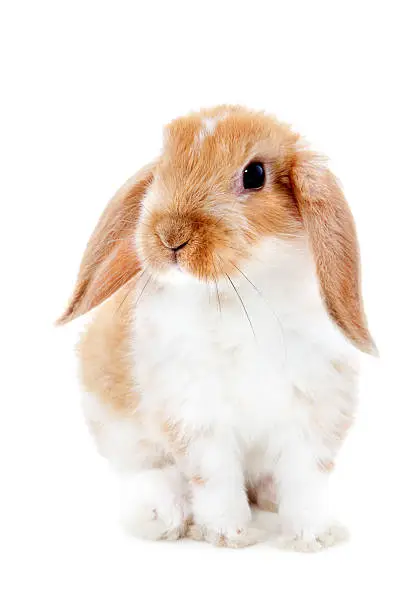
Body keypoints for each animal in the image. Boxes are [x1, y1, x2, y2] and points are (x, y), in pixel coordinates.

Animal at [59, 104, 374, 548]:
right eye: (163, 168)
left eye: (254, 174)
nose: (170, 235)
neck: (241, 291)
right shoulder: (196, 417)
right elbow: (215, 479)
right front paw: (229, 534)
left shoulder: (314, 413)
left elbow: (306, 480)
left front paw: (314, 536)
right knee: (150, 473)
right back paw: (160, 516)